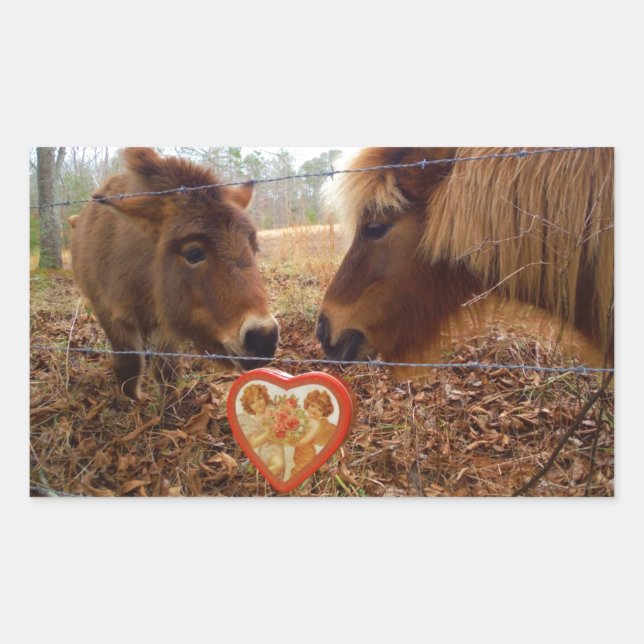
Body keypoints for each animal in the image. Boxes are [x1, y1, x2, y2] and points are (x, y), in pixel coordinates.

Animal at [71, 147, 279, 400]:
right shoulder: (110, 315)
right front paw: (134, 401)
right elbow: (129, 366)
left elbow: (166, 369)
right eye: (193, 253)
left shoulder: (165, 322)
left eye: (254, 248)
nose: (263, 337)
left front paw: (169, 401)